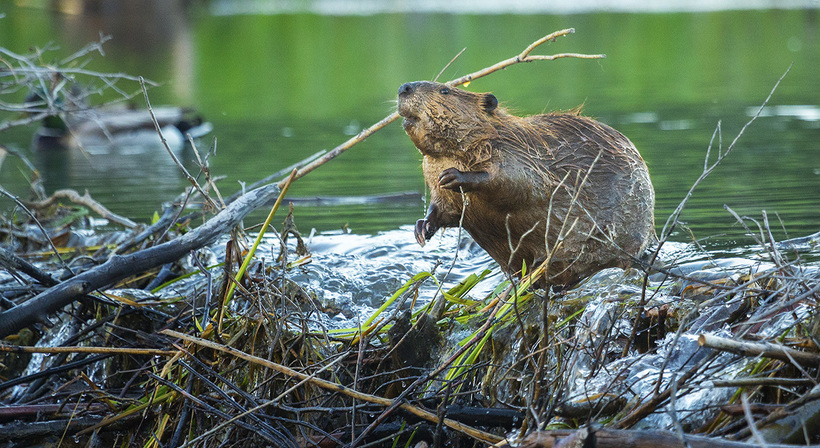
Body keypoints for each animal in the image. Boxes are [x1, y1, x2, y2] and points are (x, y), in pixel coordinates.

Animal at [396, 81, 652, 286]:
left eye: (445, 90)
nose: (404, 88)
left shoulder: (517, 152)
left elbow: (520, 183)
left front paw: (454, 176)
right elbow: (444, 209)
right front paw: (422, 228)